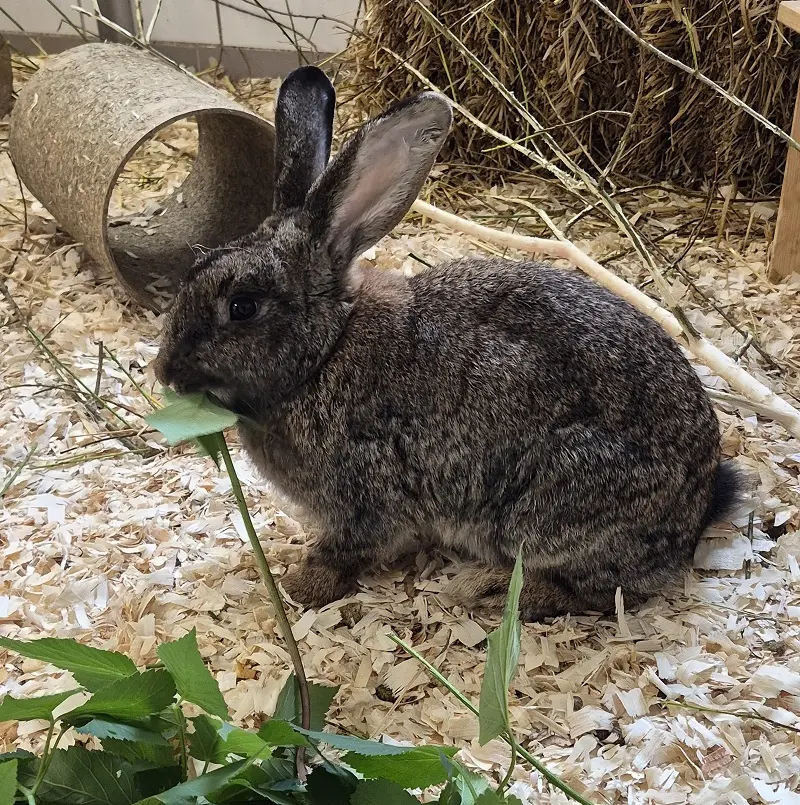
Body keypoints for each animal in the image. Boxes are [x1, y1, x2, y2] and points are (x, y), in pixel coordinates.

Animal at [154, 65, 741, 621]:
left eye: (243, 306)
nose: (165, 372)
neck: (325, 352)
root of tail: (693, 509)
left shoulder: (364, 492)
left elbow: (345, 550)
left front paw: (301, 587)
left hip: (552, 508)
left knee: (596, 590)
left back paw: (487, 591)